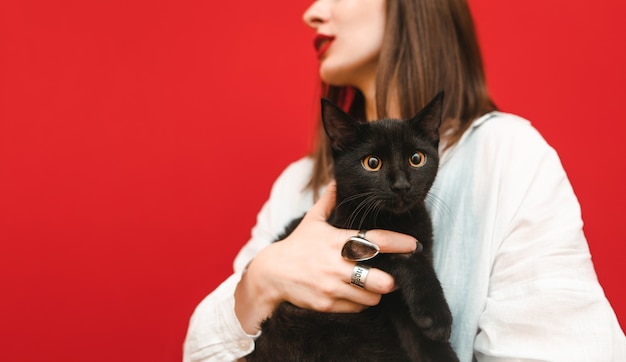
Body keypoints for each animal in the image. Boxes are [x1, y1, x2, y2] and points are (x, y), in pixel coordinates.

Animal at [246, 93, 456, 362]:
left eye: (416, 159)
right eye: (372, 163)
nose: (401, 185)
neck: (397, 223)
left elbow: (422, 340)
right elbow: (405, 257)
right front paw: (438, 316)